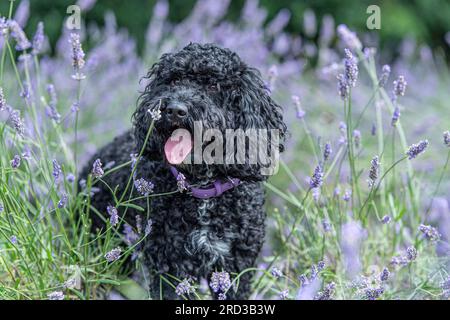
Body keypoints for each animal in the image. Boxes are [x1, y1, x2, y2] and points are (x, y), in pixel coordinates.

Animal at [79, 43, 286, 300]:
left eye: (213, 86)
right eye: (174, 80)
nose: (175, 110)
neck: (202, 190)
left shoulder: (236, 265)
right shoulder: (169, 265)